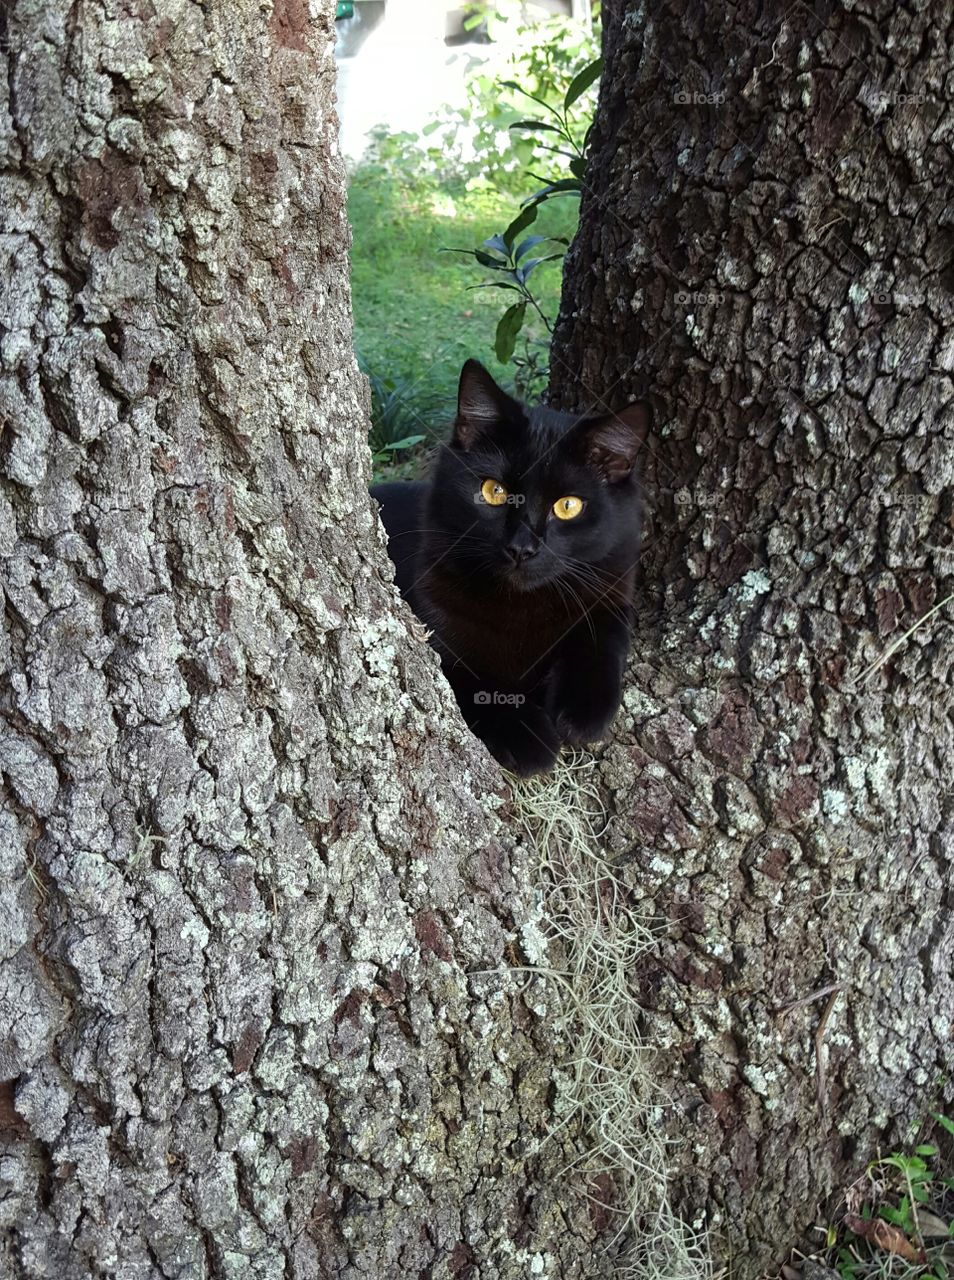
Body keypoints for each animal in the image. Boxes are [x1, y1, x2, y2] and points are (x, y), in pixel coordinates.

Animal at [371, 363, 647, 778]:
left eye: (568, 506)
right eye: (494, 491)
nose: (521, 547)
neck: (524, 608)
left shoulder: (612, 595)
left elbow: (604, 640)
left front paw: (584, 712)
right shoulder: (435, 629)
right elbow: (475, 682)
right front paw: (529, 736)